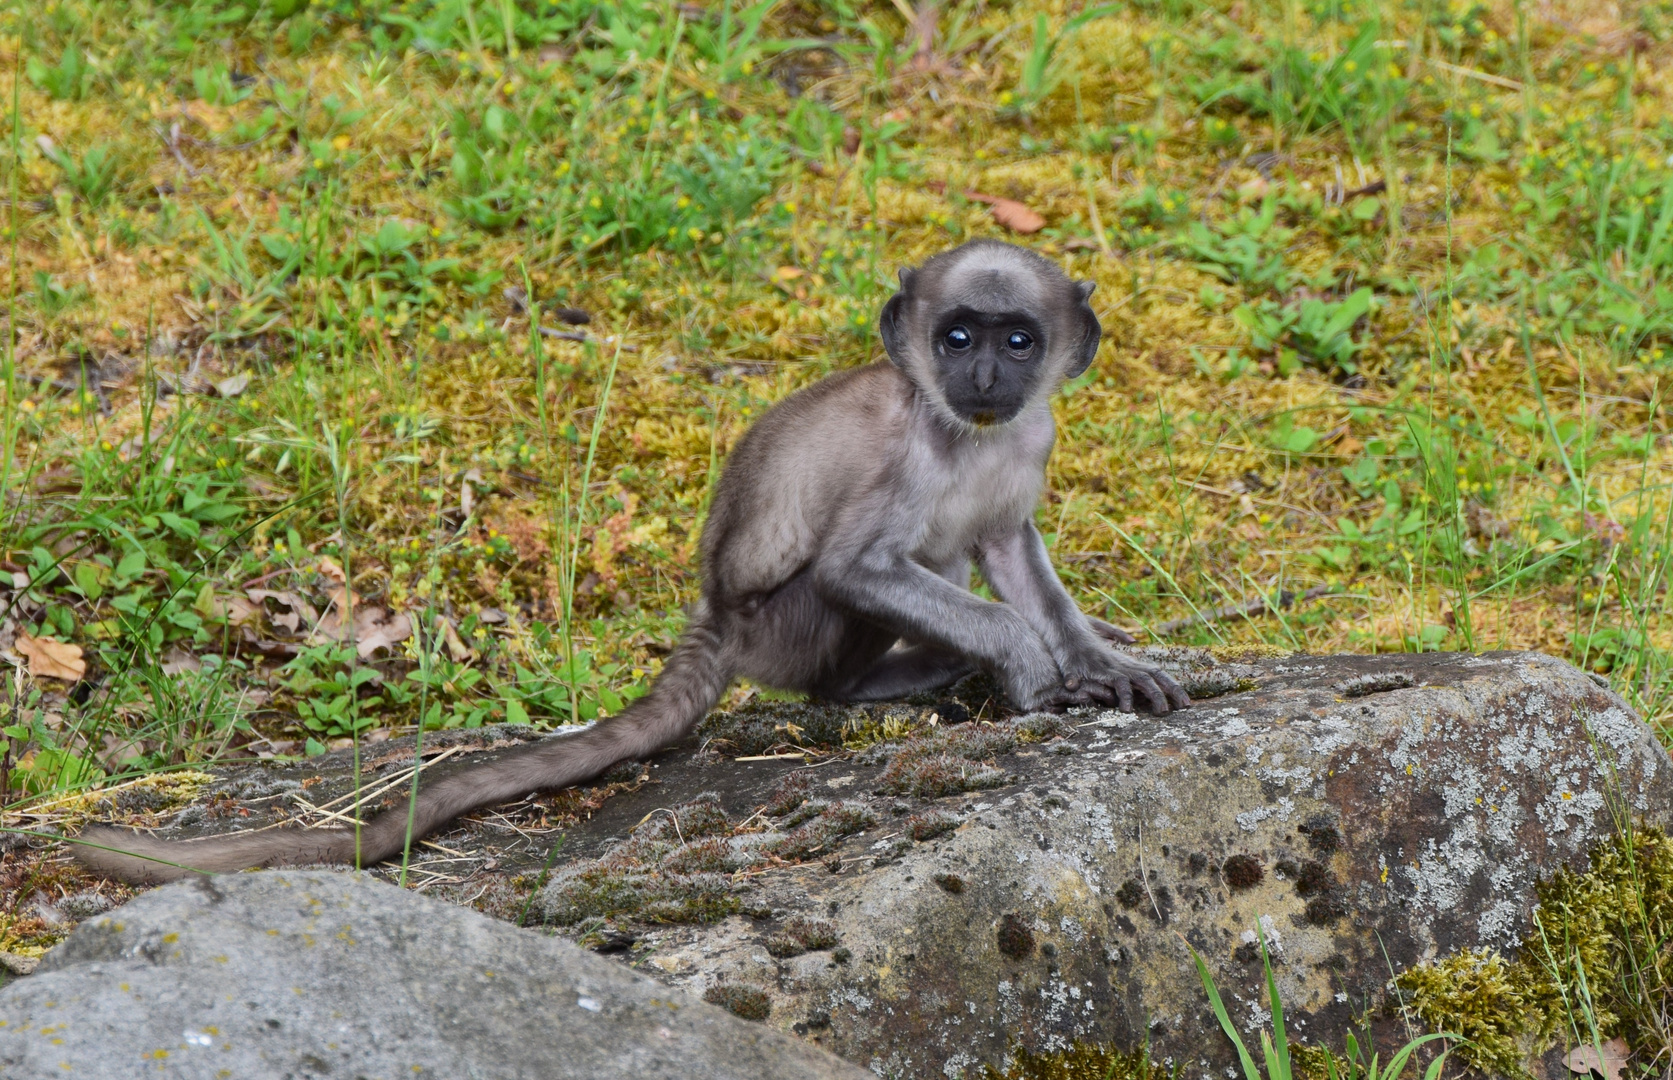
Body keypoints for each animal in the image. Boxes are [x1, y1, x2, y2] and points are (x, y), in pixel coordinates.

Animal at [68, 244, 1191, 889]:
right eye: (955, 336)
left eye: (1015, 339)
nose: (985, 374)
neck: (965, 432)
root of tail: (714, 618)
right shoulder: (899, 465)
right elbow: (861, 567)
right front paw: (1027, 668)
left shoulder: (1026, 447)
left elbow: (1017, 555)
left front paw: (1098, 663)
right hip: (780, 622)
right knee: (838, 633)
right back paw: (909, 674)